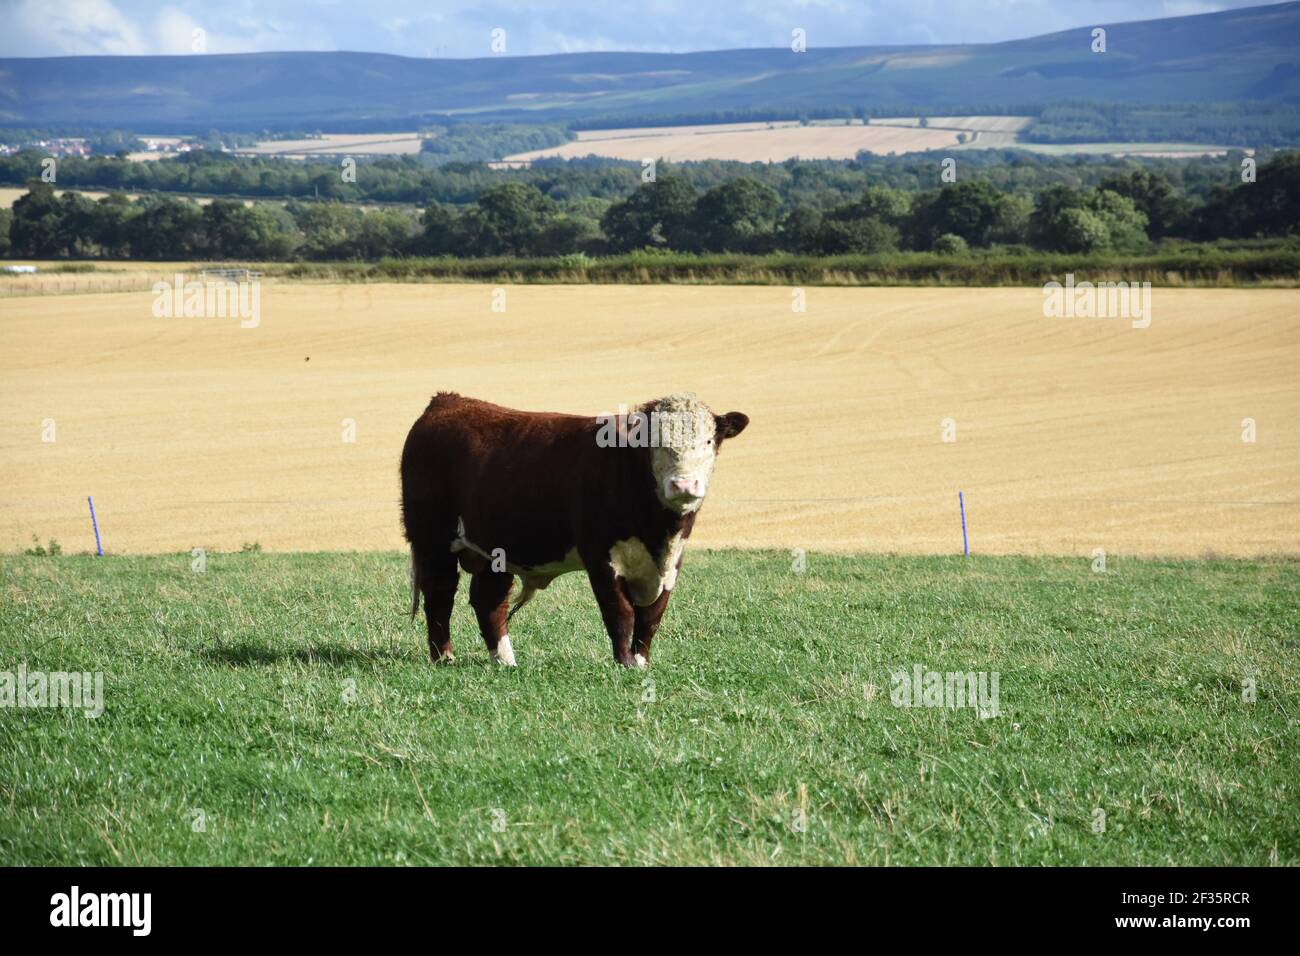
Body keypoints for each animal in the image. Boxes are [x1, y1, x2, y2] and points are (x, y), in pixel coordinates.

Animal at [400, 392, 749, 668]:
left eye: (707, 441)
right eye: (655, 443)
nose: (684, 484)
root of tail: (447, 401)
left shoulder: (671, 564)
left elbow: (651, 617)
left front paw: (641, 661)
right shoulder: (600, 557)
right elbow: (620, 612)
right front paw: (625, 663)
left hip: (494, 549)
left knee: (488, 600)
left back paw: (505, 661)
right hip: (432, 539)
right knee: (440, 593)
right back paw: (444, 657)